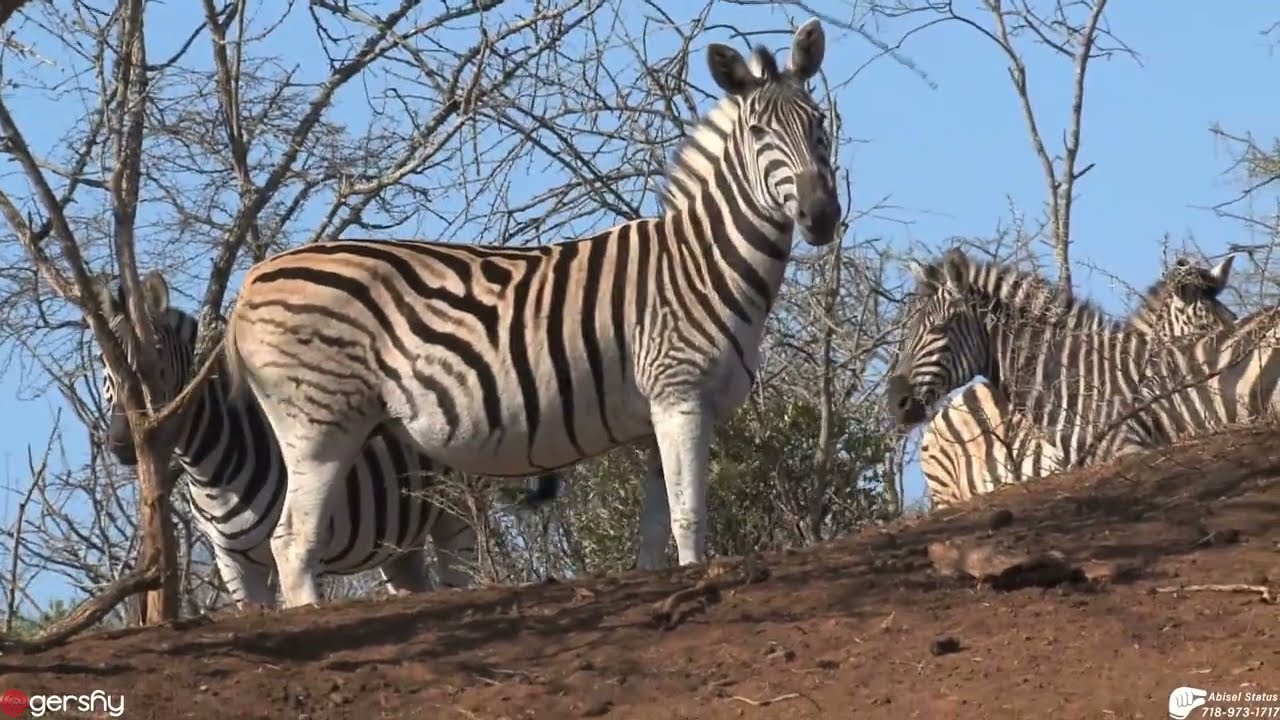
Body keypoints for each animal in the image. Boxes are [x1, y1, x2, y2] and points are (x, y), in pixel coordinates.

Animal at [93, 270, 564, 608]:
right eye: (103, 362)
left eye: (155, 361)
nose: (120, 443)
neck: (212, 470)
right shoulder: (234, 565)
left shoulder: (306, 546)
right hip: (399, 538)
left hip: (456, 511)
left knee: (460, 572)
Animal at [168, 19, 840, 608]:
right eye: (759, 133)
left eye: (820, 125)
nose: (821, 216)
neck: (706, 261)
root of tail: (252, 281)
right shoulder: (680, 394)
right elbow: (689, 516)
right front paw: (700, 580)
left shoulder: (655, 415)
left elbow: (654, 533)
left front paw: (658, 586)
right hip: (318, 425)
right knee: (291, 544)